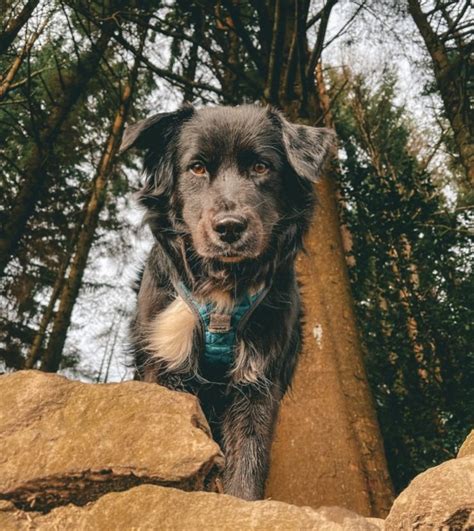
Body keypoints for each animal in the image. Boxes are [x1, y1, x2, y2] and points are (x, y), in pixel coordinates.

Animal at [120, 106, 332, 500]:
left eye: (262, 167)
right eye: (197, 168)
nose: (230, 227)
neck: (222, 286)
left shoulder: (258, 379)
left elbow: (249, 458)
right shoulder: (163, 361)